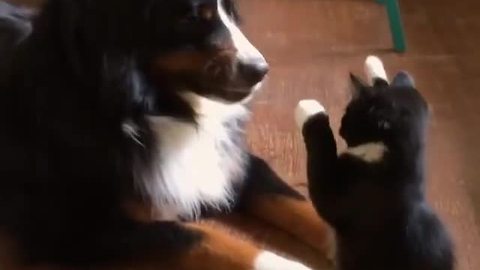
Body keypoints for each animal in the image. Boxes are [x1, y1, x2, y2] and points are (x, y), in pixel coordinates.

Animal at [0, 0, 334, 268]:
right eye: (193, 16)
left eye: (230, 11)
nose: (261, 69)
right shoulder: (76, 229)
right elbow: (198, 237)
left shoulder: (233, 163)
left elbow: (297, 204)